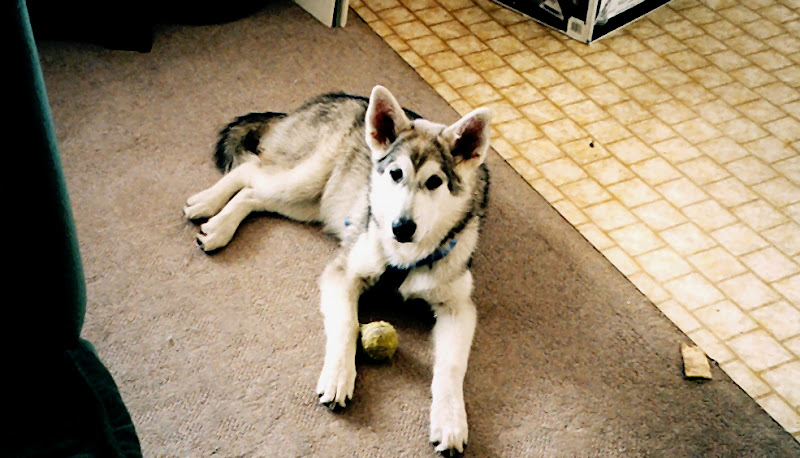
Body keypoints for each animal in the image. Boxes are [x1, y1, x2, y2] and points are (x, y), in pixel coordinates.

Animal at [184, 86, 490, 455]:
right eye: (396, 174)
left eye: (434, 182)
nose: (401, 227)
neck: (405, 256)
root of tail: (337, 98)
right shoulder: (343, 272)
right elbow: (346, 325)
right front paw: (339, 377)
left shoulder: (458, 307)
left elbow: (452, 365)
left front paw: (451, 420)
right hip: (304, 180)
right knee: (250, 171)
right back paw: (209, 207)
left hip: (310, 203)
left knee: (252, 195)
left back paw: (220, 225)